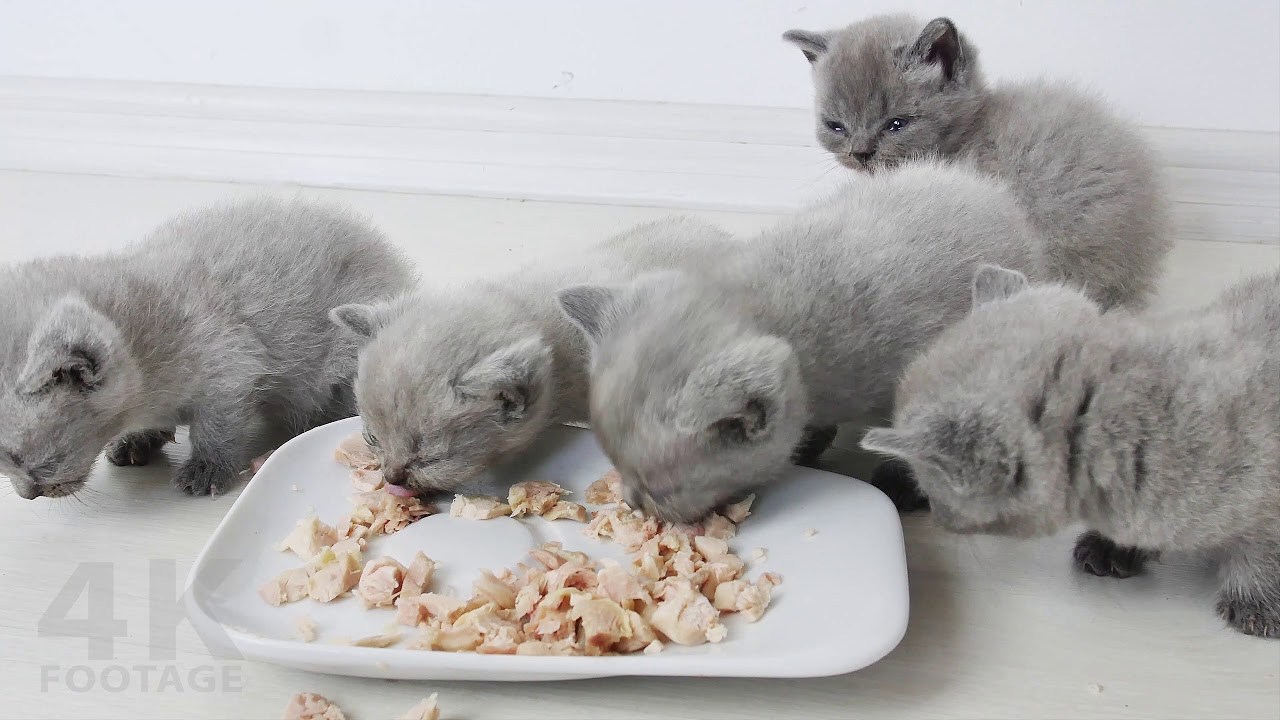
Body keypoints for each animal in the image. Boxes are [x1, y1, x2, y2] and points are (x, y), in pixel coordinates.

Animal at [0, 196, 412, 499]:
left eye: (16, 455)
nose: (25, 495)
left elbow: (217, 426)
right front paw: (137, 439)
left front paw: (207, 468)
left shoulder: (231, 368)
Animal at [563, 161, 1070, 520]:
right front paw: (809, 443)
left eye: (660, 490)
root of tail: (989, 189)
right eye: (617, 468)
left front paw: (904, 482)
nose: (633, 503)